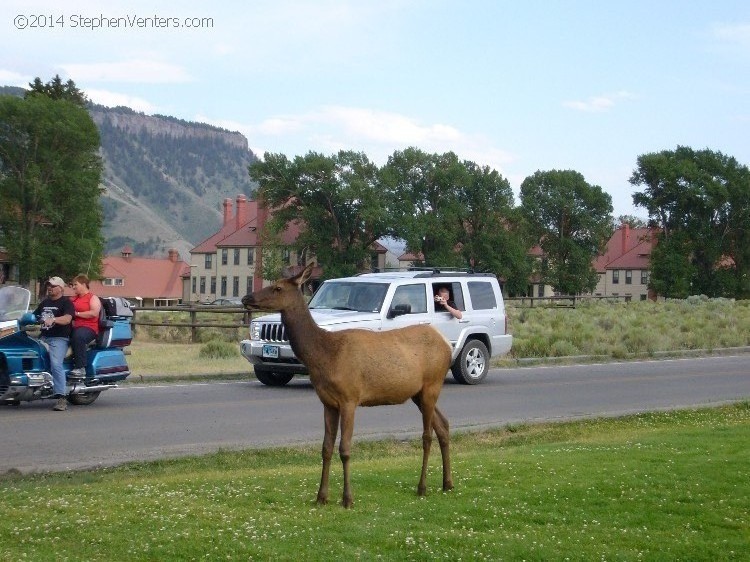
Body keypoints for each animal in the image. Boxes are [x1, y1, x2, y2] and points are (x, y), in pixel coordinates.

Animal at [244, 264, 456, 508]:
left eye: (277, 288)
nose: (246, 297)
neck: (324, 356)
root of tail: (446, 344)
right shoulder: (327, 402)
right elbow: (326, 448)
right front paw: (321, 497)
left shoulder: (350, 398)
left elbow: (344, 449)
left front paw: (347, 499)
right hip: (418, 393)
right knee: (443, 425)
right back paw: (447, 483)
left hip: (432, 384)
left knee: (427, 435)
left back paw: (422, 487)